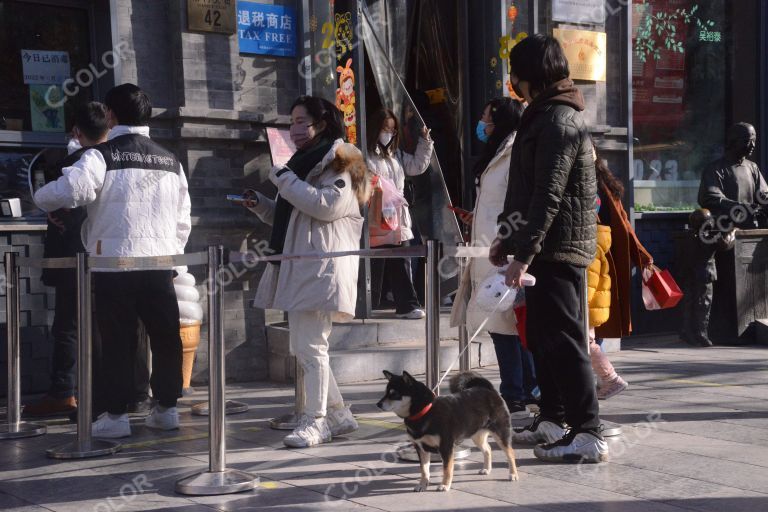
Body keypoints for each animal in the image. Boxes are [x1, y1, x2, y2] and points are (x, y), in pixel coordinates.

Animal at [376, 370, 520, 490]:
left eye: (394, 394)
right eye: (385, 392)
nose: (378, 404)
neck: (425, 412)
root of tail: (489, 390)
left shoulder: (446, 447)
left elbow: (447, 468)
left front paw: (445, 485)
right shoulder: (420, 448)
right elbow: (424, 469)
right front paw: (422, 485)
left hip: (501, 433)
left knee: (510, 453)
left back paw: (513, 474)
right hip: (477, 435)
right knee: (488, 449)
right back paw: (486, 469)